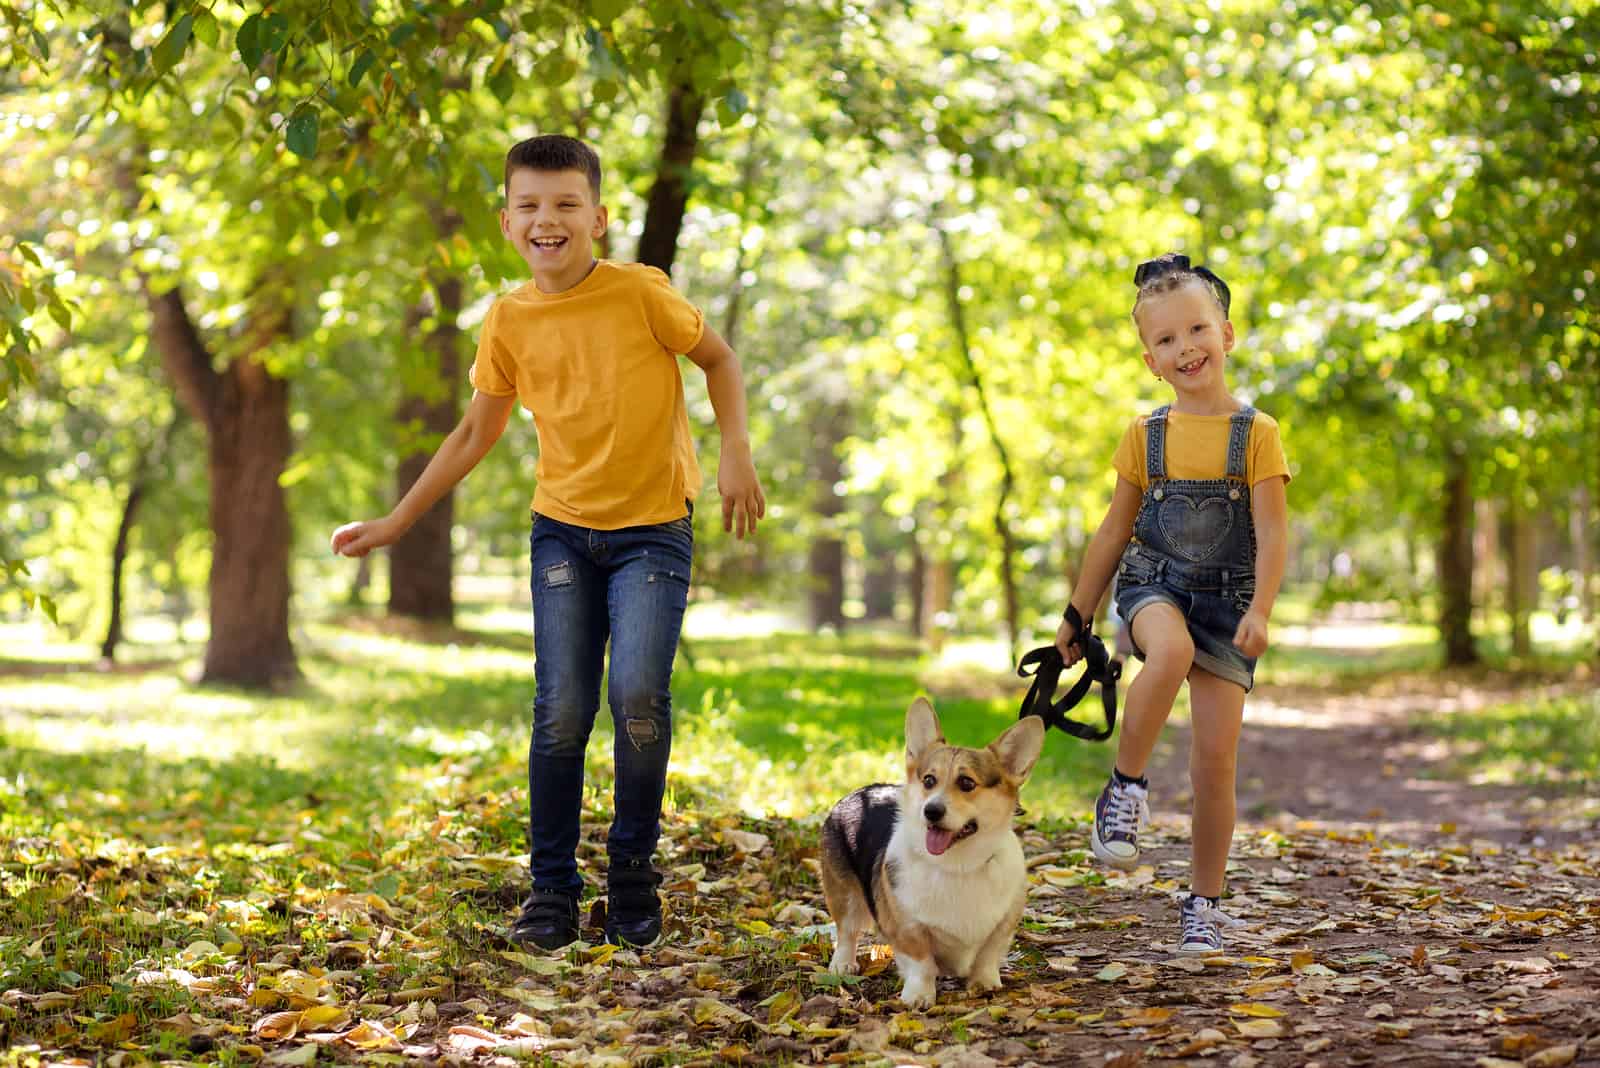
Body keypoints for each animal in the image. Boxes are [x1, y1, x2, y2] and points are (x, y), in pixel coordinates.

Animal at [819, 697, 1043, 1004]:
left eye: (967, 783)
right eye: (928, 781)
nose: (931, 811)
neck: (958, 866)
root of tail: (860, 791)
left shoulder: (1003, 925)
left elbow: (988, 956)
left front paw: (985, 983)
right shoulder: (908, 928)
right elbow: (921, 963)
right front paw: (918, 996)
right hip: (844, 894)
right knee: (846, 931)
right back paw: (842, 964)